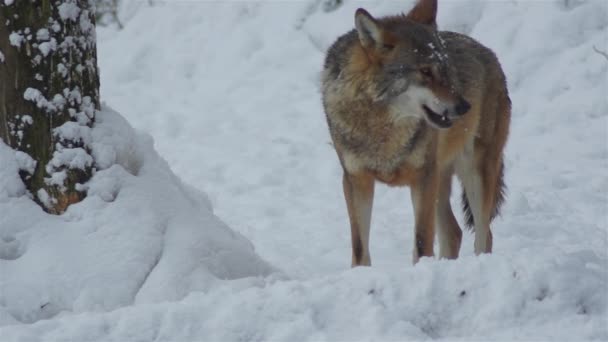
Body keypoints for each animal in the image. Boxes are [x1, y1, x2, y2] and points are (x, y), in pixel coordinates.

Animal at [320, 0, 510, 266]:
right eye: (425, 72)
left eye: (446, 70)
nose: (465, 107)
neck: (383, 127)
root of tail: (490, 54)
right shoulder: (356, 180)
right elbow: (359, 248)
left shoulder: (423, 177)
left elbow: (422, 241)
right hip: (441, 181)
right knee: (454, 232)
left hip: (474, 173)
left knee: (484, 234)